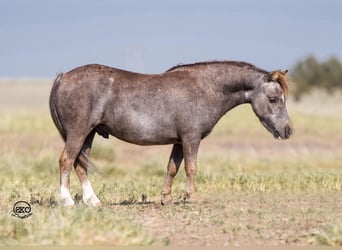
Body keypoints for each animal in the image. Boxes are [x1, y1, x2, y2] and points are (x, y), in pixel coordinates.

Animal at [49, 61, 292, 207]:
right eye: (273, 99)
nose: (288, 130)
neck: (206, 89)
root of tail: (63, 76)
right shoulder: (191, 138)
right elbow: (191, 168)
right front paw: (192, 196)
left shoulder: (179, 142)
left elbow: (172, 168)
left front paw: (165, 197)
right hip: (78, 132)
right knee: (66, 160)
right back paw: (67, 200)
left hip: (88, 134)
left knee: (80, 165)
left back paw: (93, 200)